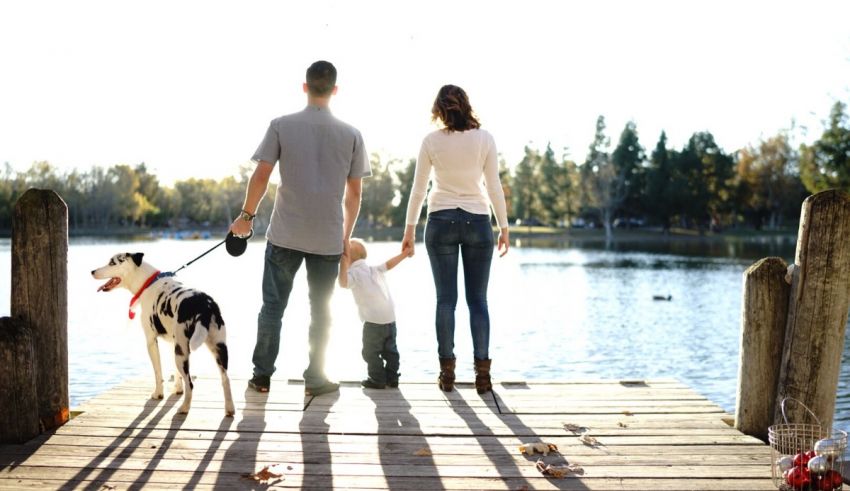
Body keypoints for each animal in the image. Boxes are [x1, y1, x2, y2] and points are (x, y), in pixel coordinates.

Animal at [92, 254, 235, 418]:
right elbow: (176, 374)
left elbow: (158, 372)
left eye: (112, 263)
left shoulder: (151, 341)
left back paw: (184, 408)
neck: (147, 283)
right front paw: (177, 389)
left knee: (191, 384)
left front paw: (158, 394)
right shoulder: (174, 344)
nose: (92, 271)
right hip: (217, 349)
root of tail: (206, 304)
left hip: (183, 353)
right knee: (225, 380)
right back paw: (229, 409)